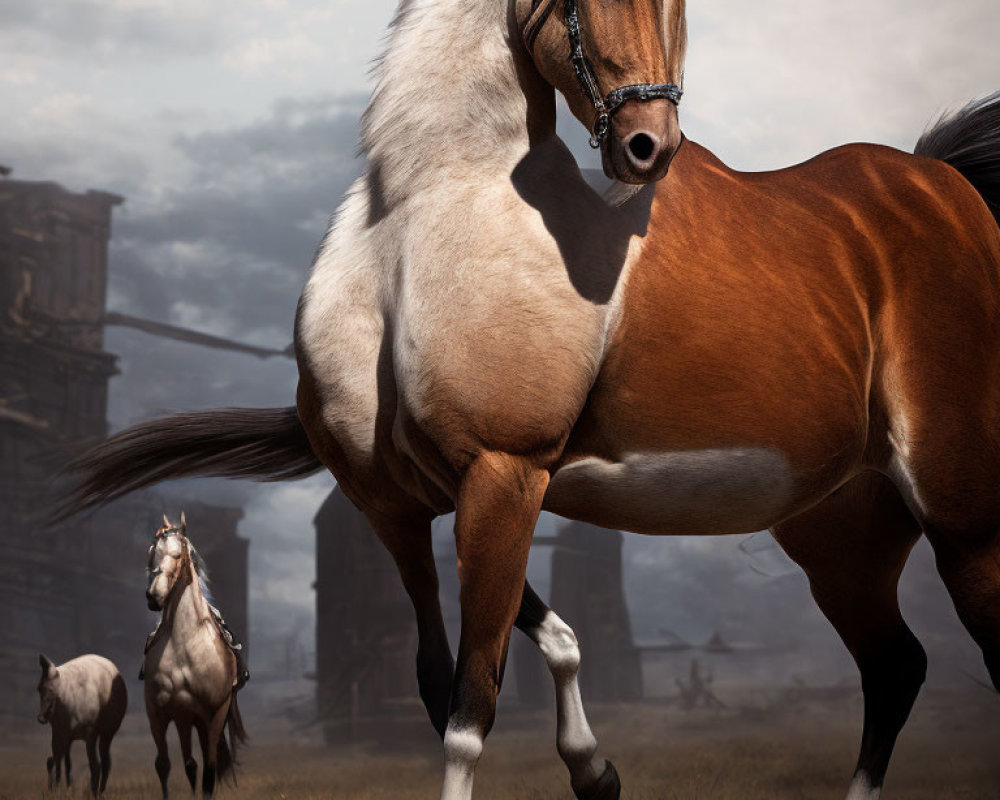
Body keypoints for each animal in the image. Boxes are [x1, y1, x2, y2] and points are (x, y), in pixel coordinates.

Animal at [36, 652, 127, 796]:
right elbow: (61, 763)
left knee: (100, 764)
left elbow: (90, 765)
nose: (41, 718)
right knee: (102, 763)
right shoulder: (62, 734)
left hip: (104, 735)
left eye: (51, 690)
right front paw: (60, 789)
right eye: (39, 689)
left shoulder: (88, 734)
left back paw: (97, 793)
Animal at [144, 516, 247, 796]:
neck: (184, 642)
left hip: (203, 720)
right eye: (151, 554)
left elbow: (209, 772)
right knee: (190, 764)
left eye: (178, 554)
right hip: (184, 718)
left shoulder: (212, 716)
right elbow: (163, 765)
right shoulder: (157, 713)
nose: (153, 597)